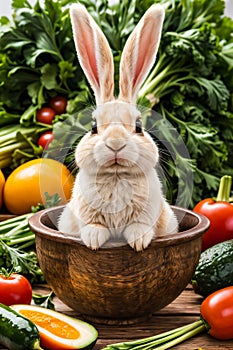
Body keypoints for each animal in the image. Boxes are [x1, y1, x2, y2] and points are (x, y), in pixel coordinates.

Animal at [58, 1, 178, 250]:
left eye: (139, 126)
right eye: (93, 126)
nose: (115, 144)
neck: (116, 175)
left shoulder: (149, 212)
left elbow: (140, 226)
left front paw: (138, 242)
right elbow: (93, 225)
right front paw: (93, 241)